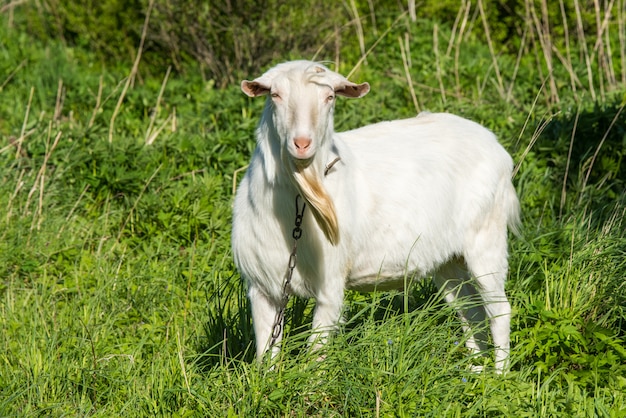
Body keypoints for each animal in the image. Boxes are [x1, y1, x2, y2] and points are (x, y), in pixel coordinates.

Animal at [229, 60, 516, 370]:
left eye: (330, 97)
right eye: (275, 95)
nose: (302, 143)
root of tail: (495, 144)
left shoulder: (330, 284)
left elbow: (316, 353)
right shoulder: (263, 286)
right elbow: (265, 351)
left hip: (486, 237)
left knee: (499, 309)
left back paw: (499, 374)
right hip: (447, 258)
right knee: (469, 309)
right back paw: (475, 369)